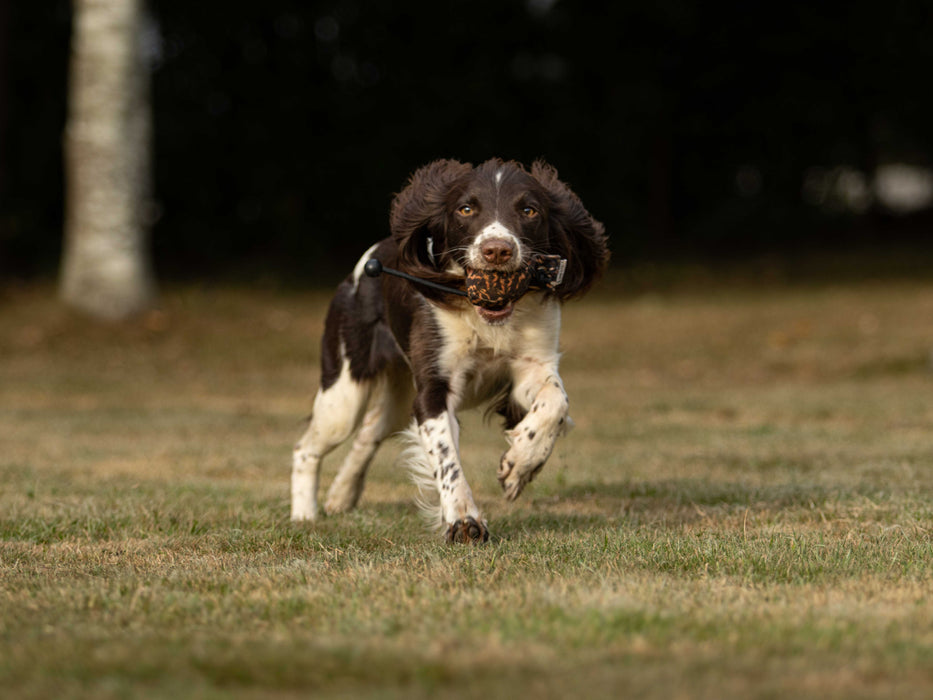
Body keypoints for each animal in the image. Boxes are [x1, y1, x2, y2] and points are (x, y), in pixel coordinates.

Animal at [294, 159, 612, 540]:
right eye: (466, 209)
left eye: (529, 210)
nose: (497, 250)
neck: (487, 317)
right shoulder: (433, 390)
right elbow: (447, 458)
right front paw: (464, 521)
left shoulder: (532, 366)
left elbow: (555, 402)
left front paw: (520, 464)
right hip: (344, 394)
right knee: (307, 448)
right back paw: (304, 515)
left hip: (395, 402)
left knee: (369, 432)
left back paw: (341, 496)